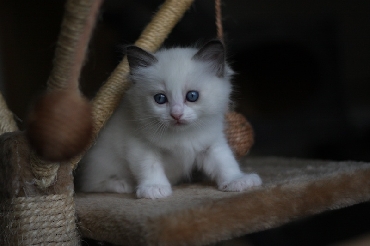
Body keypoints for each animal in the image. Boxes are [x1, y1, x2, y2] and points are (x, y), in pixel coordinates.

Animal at [76, 40, 260, 198]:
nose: (176, 114)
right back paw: (122, 184)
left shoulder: (211, 144)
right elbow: (150, 166)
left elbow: (225, 162)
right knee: (90, 184)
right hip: (101, 161)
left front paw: (237, 180)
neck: (182, 137)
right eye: (160, 99)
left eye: (192, 96)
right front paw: (154, 188)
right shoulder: (140, 144)